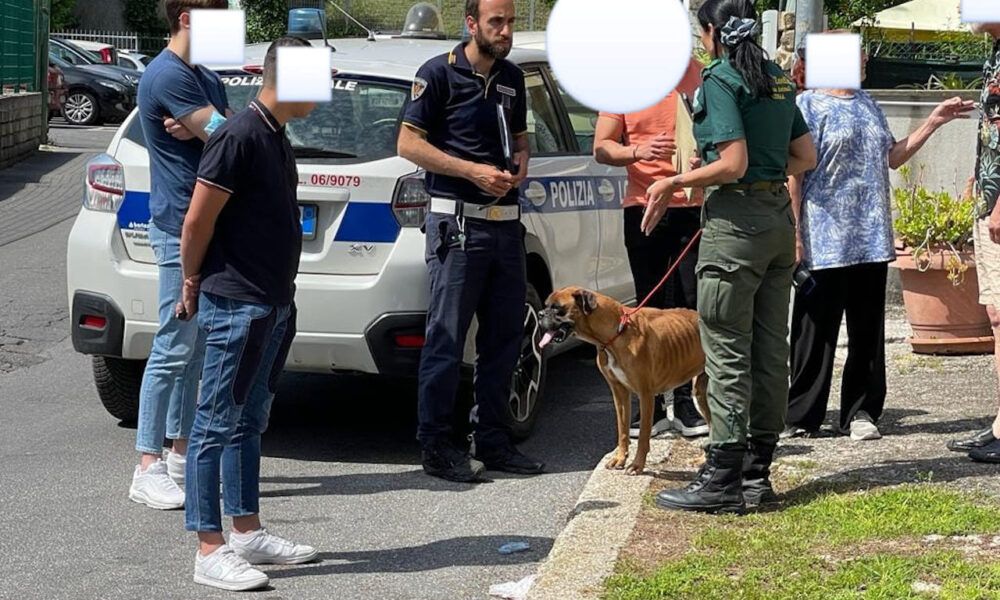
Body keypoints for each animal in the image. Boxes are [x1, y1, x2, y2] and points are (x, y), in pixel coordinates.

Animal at [540, 288, 712, 476]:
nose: (540, 314)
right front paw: (620, 458)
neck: (617, 332)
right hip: (701, 394)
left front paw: (637, 465)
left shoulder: (646, 395)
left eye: (558, 308)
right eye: (546, 305)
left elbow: (644, 434)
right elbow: (623, 430)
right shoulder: (619, 394)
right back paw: (703, 460)